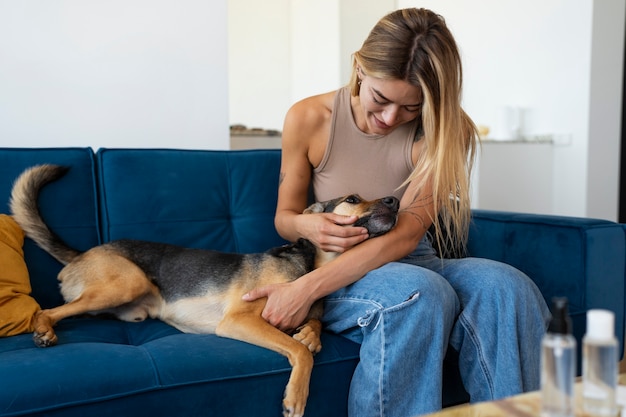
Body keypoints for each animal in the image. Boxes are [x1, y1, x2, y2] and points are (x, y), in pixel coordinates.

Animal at [9, 164, 398, 416]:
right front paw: (296, 397)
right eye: (352, 199)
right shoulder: (239, 320)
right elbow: (301, 354)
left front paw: (310, 333)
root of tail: (84, 253)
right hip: (129, 281)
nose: (395, 201)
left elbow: (311, 331)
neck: (312, 267)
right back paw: (44, 331)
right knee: (47, 310)